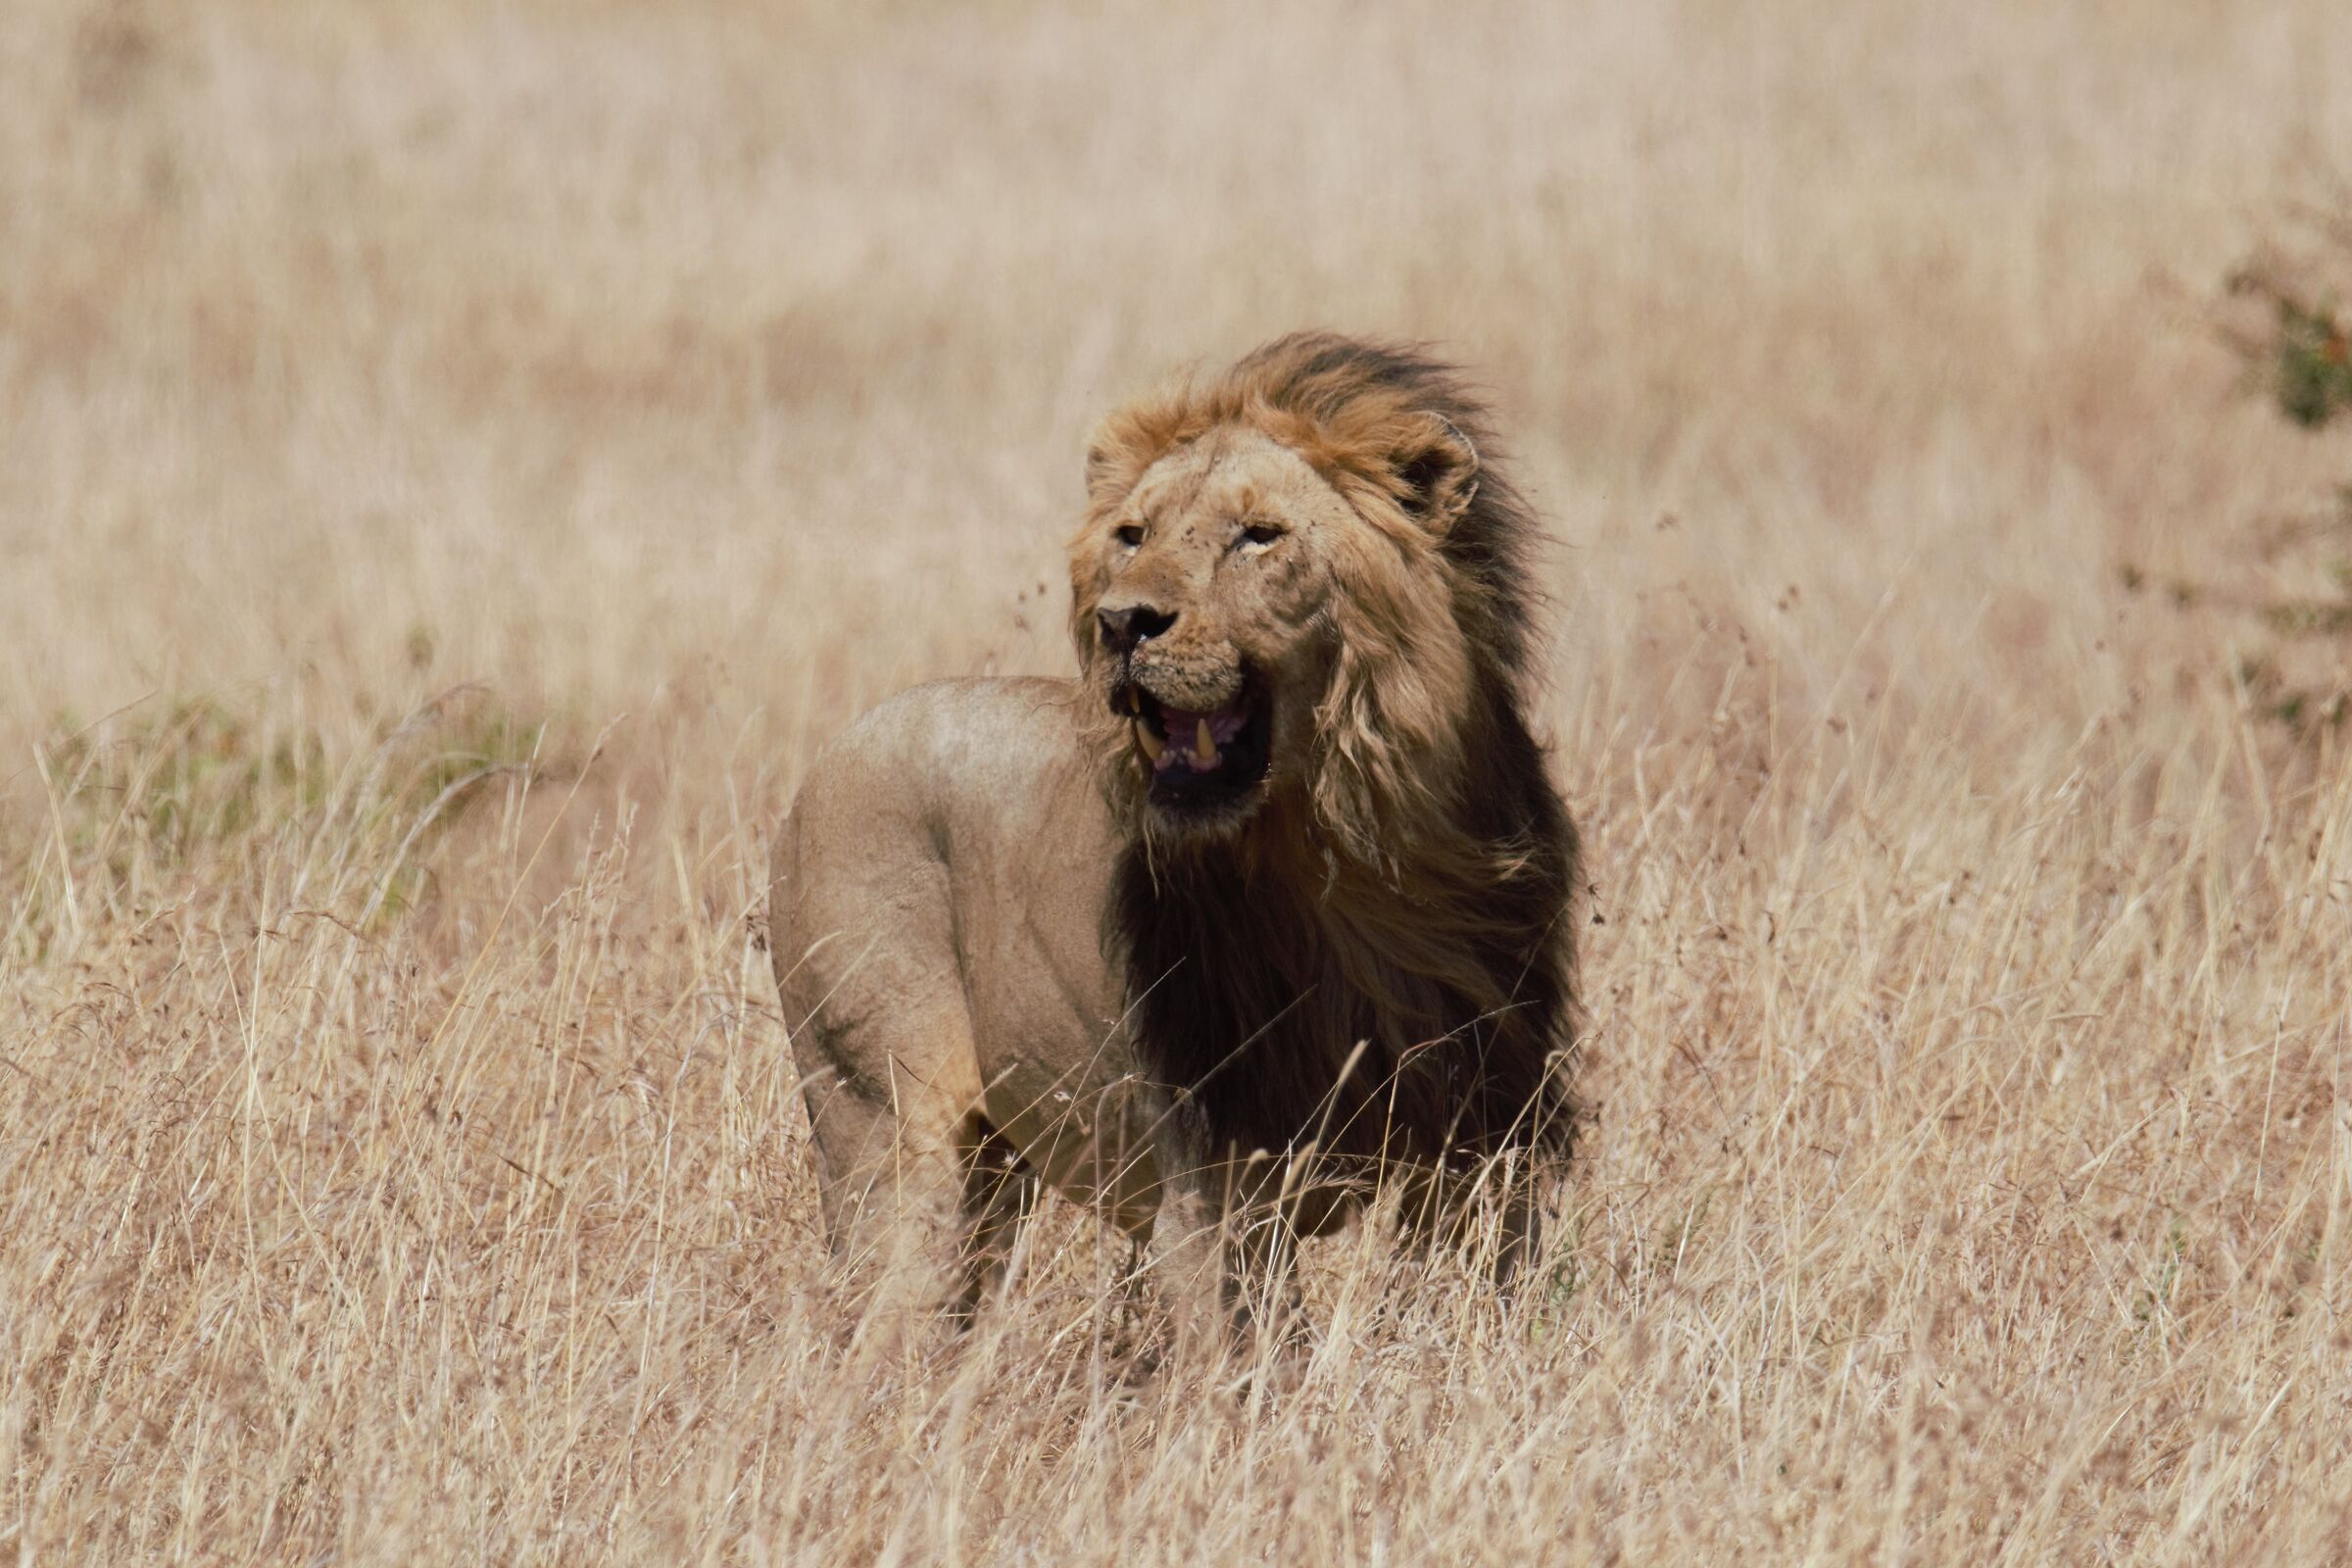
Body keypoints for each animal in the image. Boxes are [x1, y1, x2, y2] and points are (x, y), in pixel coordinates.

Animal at [768, 333, 1580, 1345]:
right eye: (1133, 536)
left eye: (1259, 535)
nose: (1124, 622)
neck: (1351, 870)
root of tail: (825, 762)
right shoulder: (1213, 1186)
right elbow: (1251, 1360)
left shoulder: (1488, 1142)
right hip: (884, 1126)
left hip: (991, 1177)